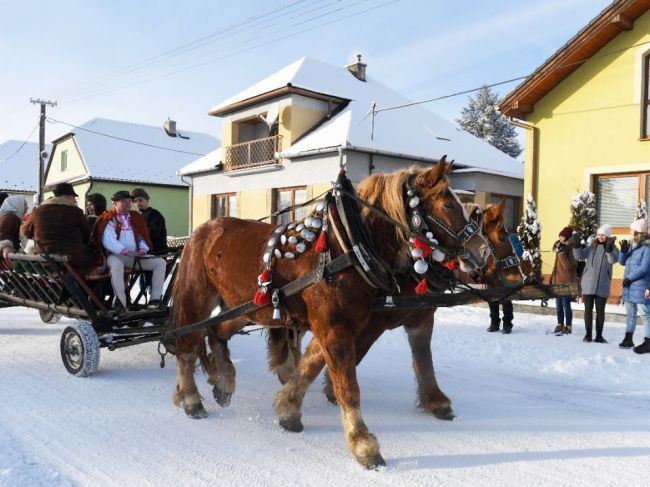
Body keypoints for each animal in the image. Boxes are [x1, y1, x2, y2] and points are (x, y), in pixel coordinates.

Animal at [171, 159, 486, 468]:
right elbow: (347, 383)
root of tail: (202, 230)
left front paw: (288, 409)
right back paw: (191, 399)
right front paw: (362, 443)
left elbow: (312, 364)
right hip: (197, 297)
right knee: (187, 346)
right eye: (448, 204)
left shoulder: (349, 323)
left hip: (250, 306)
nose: (482, 251)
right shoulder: (336, 327)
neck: (347, 246)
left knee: (217, 330)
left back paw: (223, 380)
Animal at [272, 198, 520, 430]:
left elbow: (423, 357)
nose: (518, 278)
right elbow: (356, 352)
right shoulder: (370, 323)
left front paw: (435, 401)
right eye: (502, 238)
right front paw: (330, 388)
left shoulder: (420, 317)